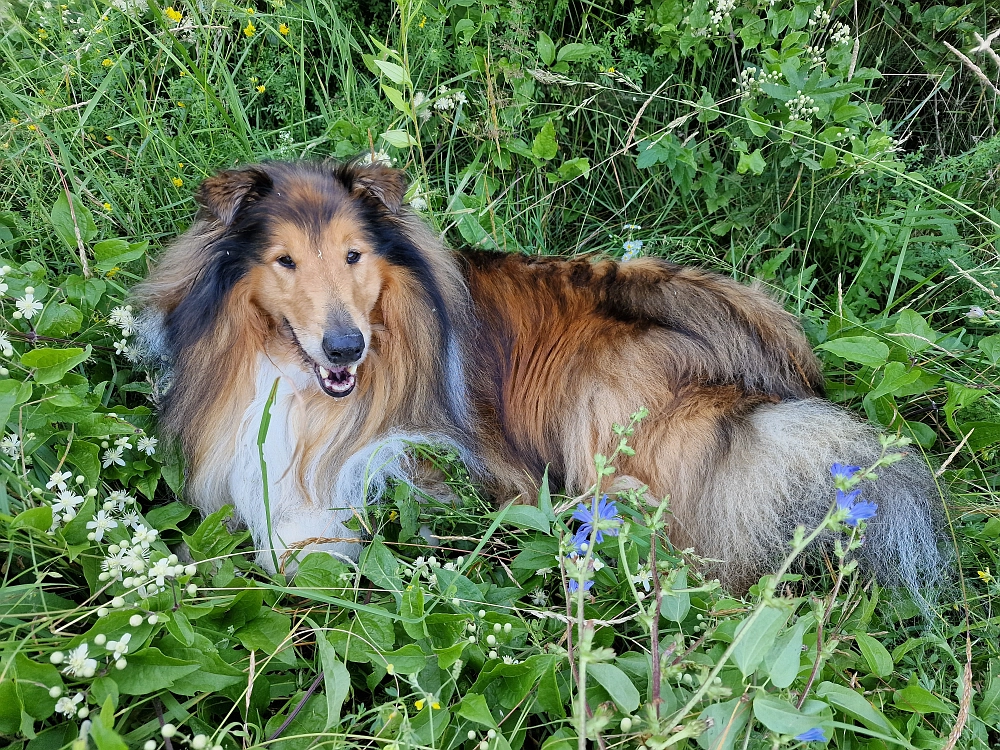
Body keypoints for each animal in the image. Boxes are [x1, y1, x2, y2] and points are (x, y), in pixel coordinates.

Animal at [135, 162, 944, 596]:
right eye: (285, 261)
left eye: (353, 256)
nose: (345, 348)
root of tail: (774, 382)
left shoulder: (433, 453)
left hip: (602, 398)